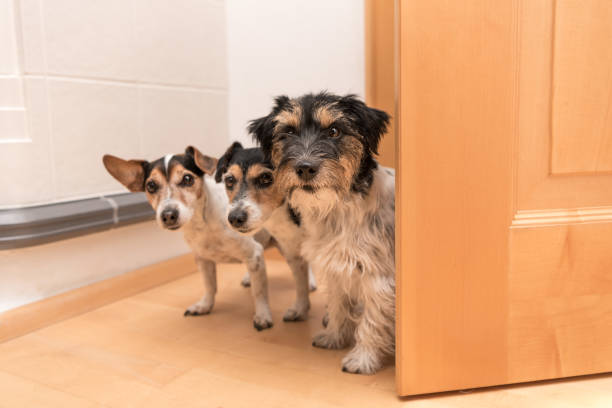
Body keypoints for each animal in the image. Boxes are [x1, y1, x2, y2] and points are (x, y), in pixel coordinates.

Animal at [250, 91, 396, 372]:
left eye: (334, 131)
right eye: (288, 132)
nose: (305, 167)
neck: (337, 209)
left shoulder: (377, 277)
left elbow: (371, 320)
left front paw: (362, 359)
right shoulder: (336, 266)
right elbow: (338, 306)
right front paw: (334, 337)